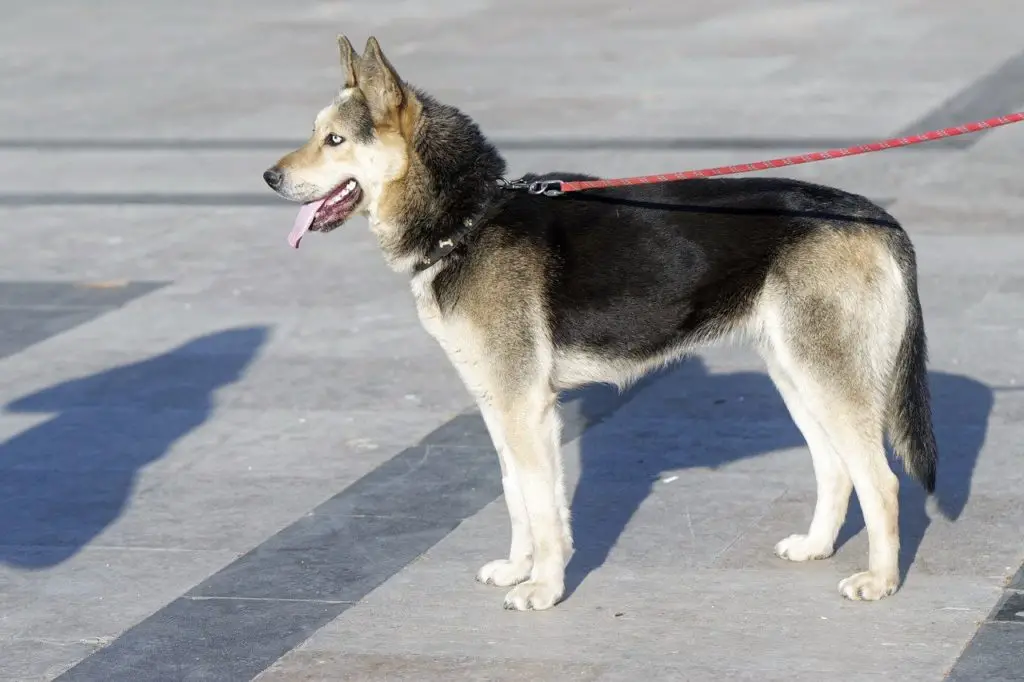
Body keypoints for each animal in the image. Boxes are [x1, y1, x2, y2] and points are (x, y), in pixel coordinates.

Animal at [264, 35, 937, 610]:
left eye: (334, 140)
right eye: (316, 134)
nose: (268, 178)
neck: (470, 218)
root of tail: (879, 219)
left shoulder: (525, 409)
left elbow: (542, 510)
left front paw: (542, 588)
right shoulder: (500, 408)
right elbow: (516, 497)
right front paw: (519, 569)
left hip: (829, 381)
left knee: (882, 483)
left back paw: (880, 581)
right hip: (798, 378)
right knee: (837, 469)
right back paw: (817, 547)